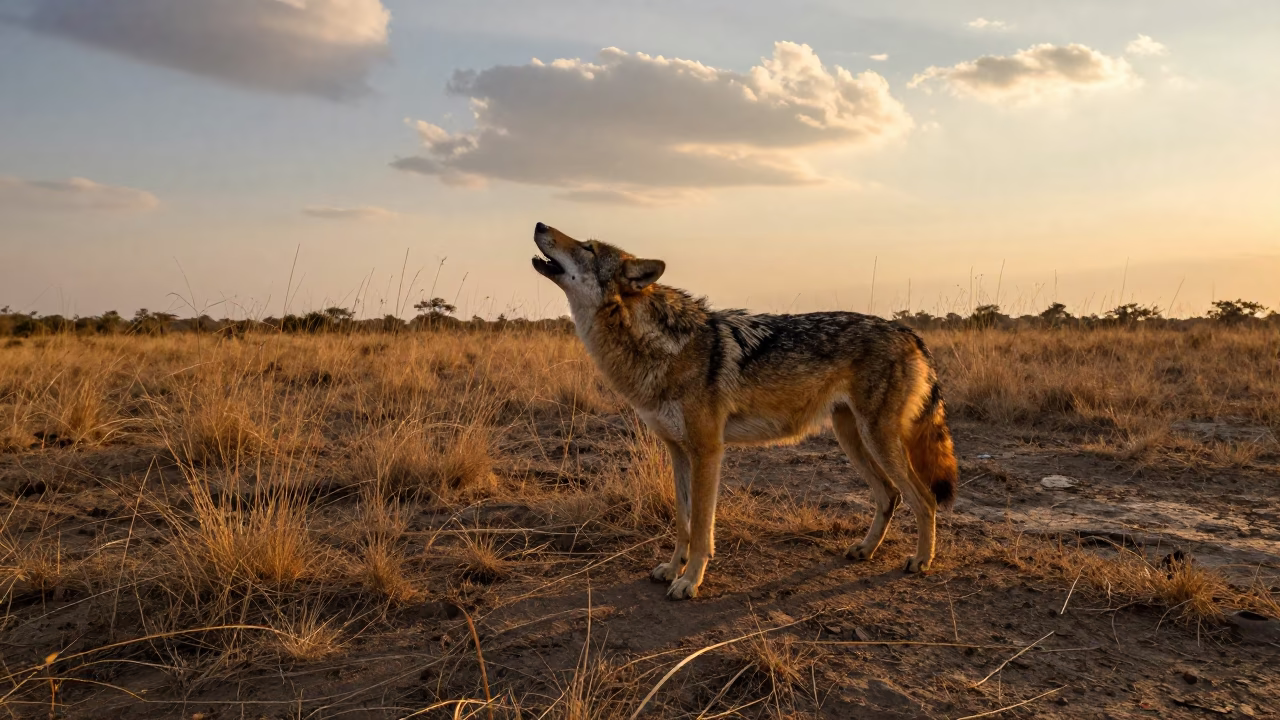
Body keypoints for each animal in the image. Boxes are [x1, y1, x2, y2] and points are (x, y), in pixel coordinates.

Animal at [532, 222, 958, 600]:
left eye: (587, 247)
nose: (538, 224)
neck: (660, 348)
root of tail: (908, 332)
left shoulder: (708, 452)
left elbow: (701, 528)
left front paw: (690, 581)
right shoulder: (678, 451)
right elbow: (683, 521)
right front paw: (672, 568)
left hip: (877, 440)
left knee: (924, 499)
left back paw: (921, 561)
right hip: (851, 438)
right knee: (890, 496)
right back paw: (866, 550)